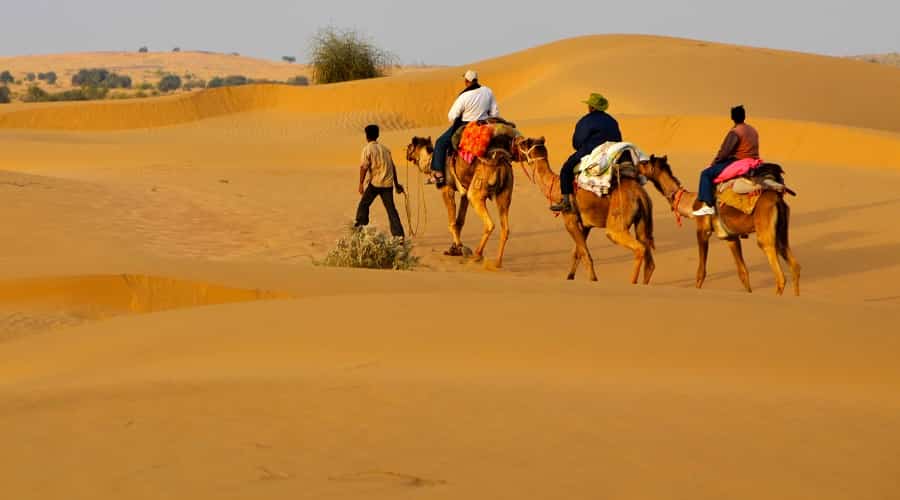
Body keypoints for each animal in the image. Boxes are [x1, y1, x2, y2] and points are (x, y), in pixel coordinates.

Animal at [408, 135, 512, 268]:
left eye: (410, 146)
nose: (406, 154)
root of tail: (499, 163)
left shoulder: (447, 189)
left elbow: (452, 223)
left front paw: (461, 247)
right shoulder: (464, 192)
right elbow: (459, 221)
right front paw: (454, 249)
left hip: (477, 191)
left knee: (489, 223)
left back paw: (477, 255)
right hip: (505, 195)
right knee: (505, 228)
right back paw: (497, 262)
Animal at [512, 136, 652, 286]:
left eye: (523, 143)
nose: (516, 139)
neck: (556, 189)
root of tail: (640, 194)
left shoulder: (570, 220)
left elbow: (585, 254)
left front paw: (593, 280)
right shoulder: (585, 225)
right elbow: (577, 252)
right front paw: (570, 277)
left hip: (618, 217)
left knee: (638, 247)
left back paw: (632, 283)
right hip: (642, 220)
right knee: (648, 254)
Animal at [640, 155, 800, 296]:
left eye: (645, 162)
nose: (637, 166)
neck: (691, 203)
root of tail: (778, 200)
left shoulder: (702, 230)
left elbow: (701, 272)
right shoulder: (730, 237)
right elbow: (743, 272)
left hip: (765, 230)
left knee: (779, 274)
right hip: (781, 231)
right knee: (794, 266)